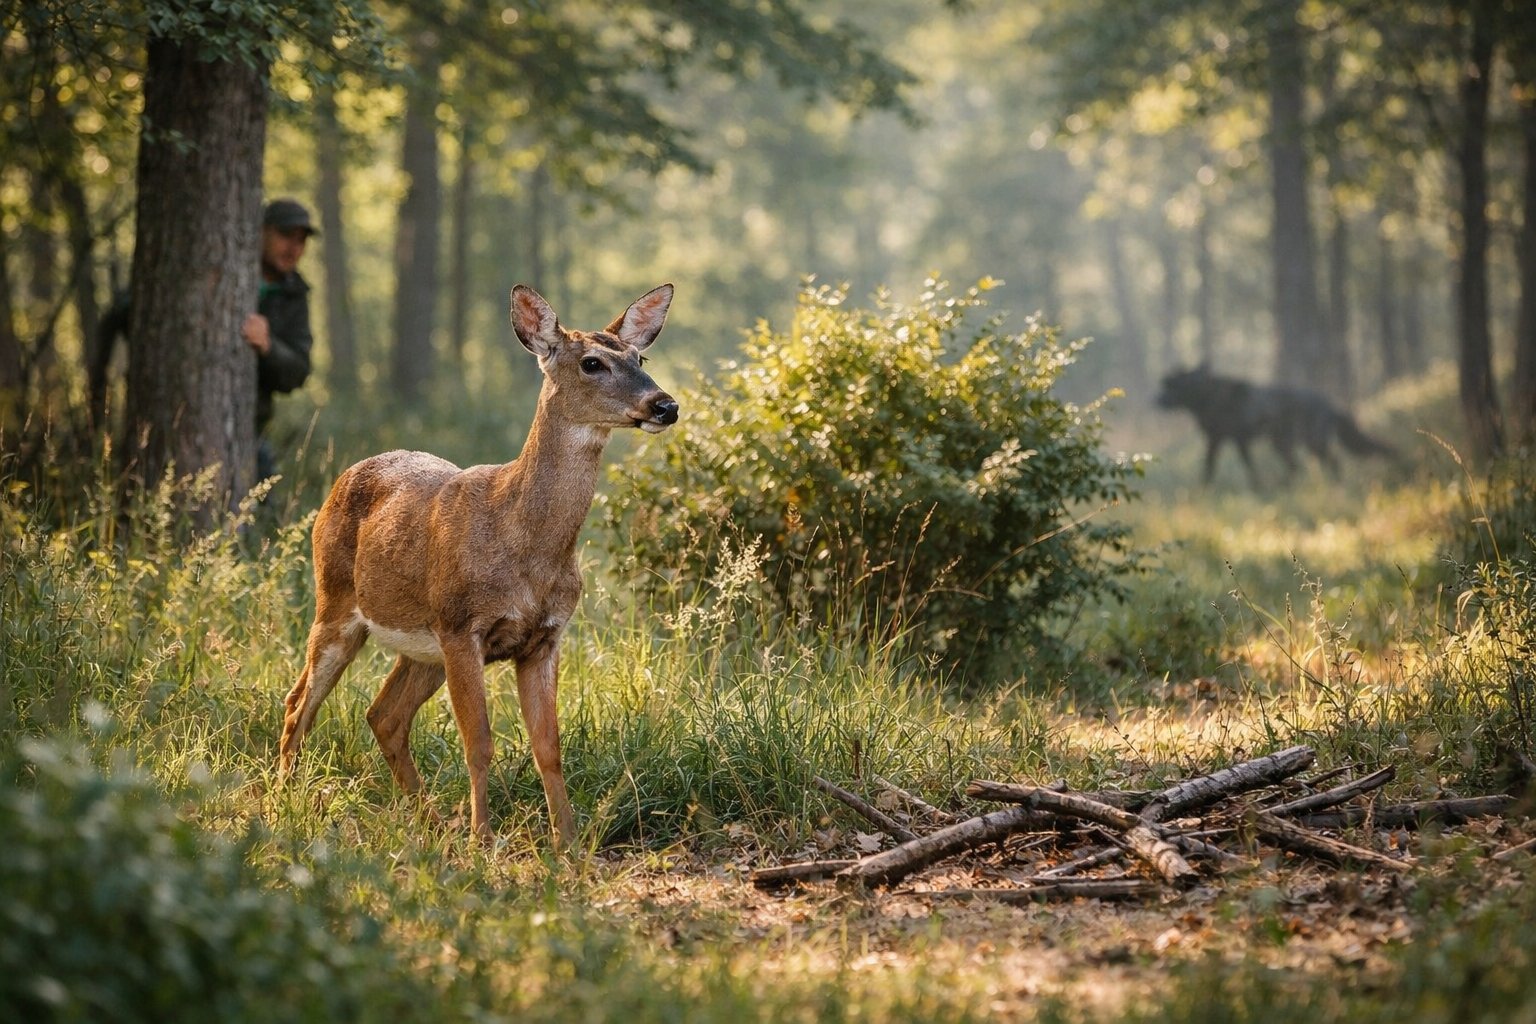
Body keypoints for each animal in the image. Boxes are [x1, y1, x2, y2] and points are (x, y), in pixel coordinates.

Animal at [278, 283, 679, 846]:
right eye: (592, 362)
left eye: (640, 358)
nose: (666, 405)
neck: (529, 549)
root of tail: (344, 477)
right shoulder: (462, 625)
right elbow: (480, 743)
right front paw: (482, 840)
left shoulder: (544, 638)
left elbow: (548, 748)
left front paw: (568, 843)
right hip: (337, 602)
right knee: (299, 703)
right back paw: (281, 801)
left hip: (422, 646)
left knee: (383, 714)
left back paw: (428, 819)